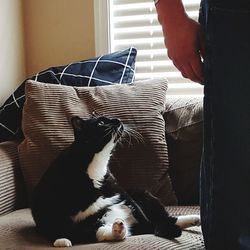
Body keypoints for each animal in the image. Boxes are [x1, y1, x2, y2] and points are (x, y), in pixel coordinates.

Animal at [31, 116, 200, 247]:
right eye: (100, 123)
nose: (117, 120)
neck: (96, 164)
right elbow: (60, 226)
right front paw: (61, 239)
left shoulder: (122, 192)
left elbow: (147, 219)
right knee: (102, 232)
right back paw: (118, 229)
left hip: (142, 193)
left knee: (164, 218)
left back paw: (193, 219)